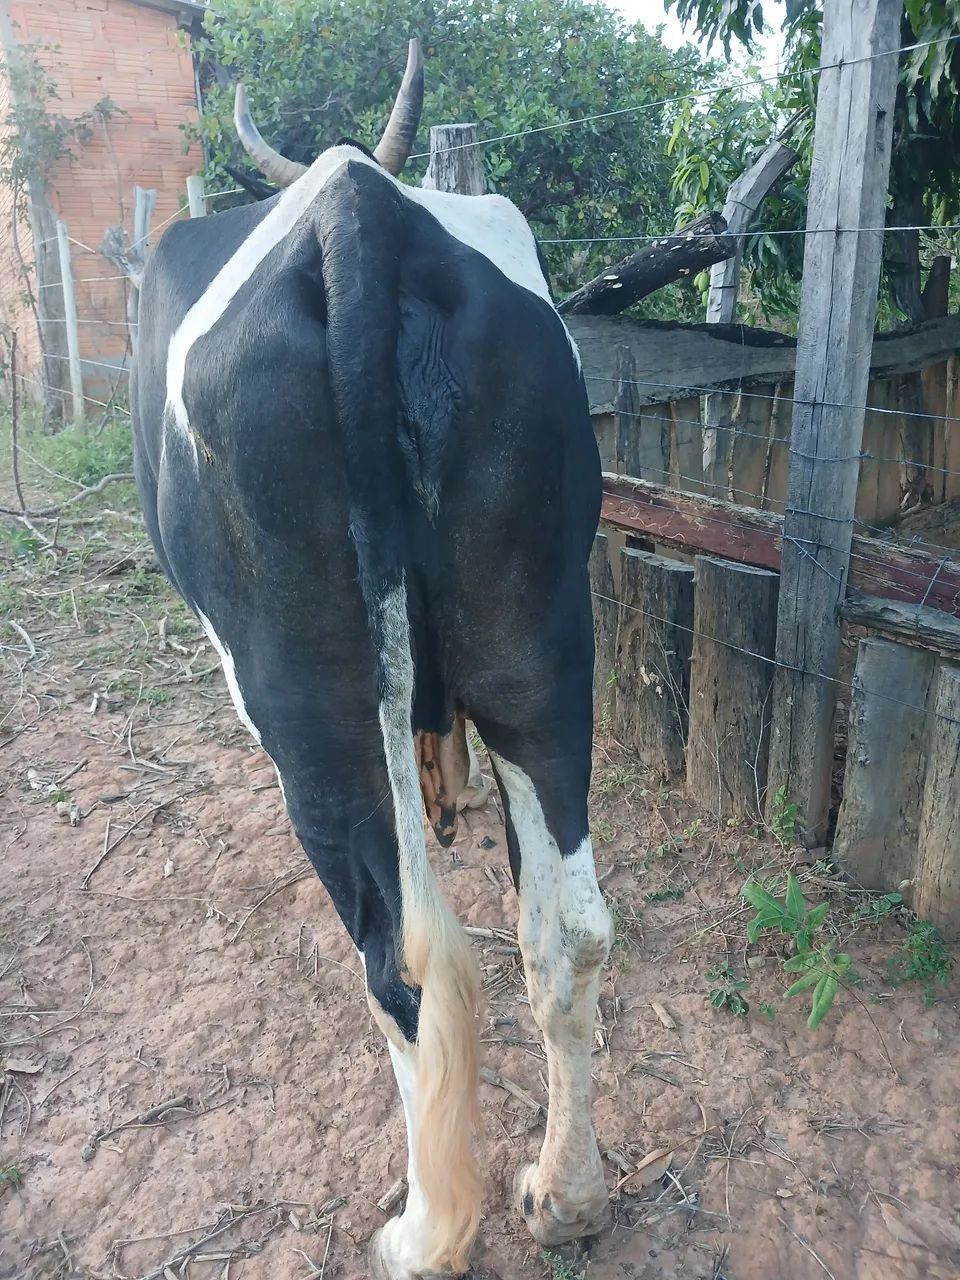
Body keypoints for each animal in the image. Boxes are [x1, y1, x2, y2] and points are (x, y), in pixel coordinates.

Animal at [132, 39, 612, 1278]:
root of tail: (357, 209)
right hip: (542, 632)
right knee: (567, 928)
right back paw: (567, 1193)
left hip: (309, 699)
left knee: (400, 957)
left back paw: (425, 1227)